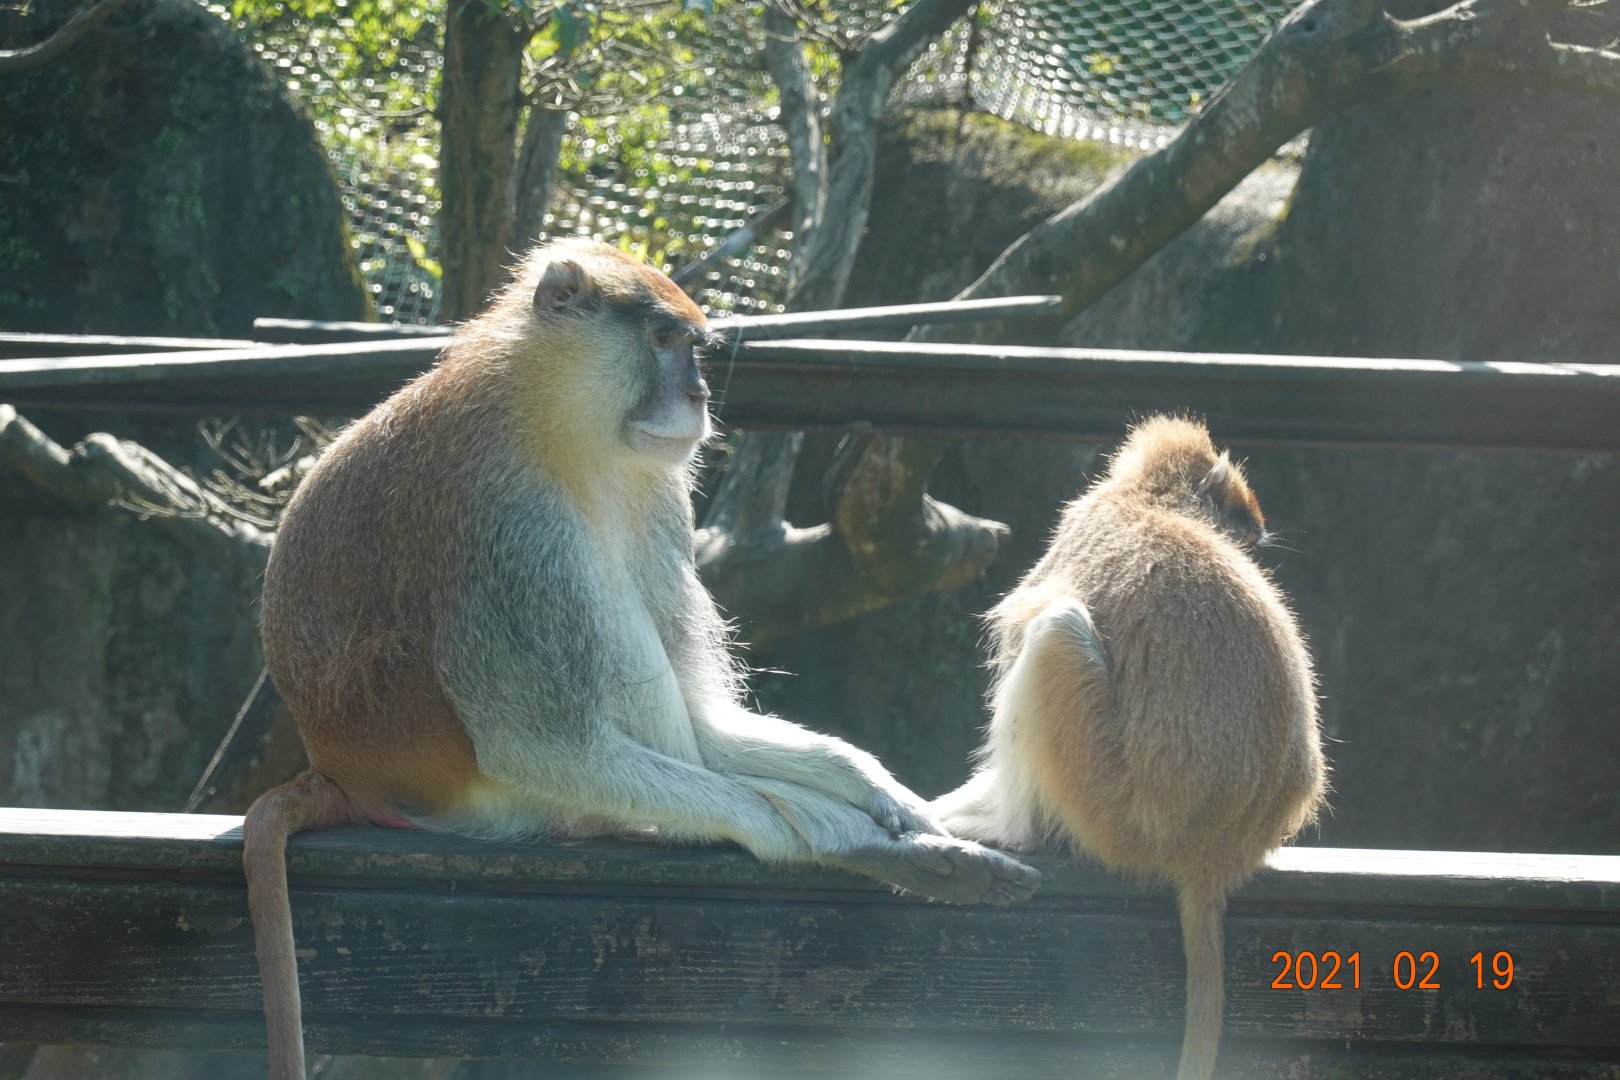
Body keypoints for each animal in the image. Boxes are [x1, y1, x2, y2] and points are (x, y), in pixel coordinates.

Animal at [242, 238, 1041, 1080]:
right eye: (662, 341)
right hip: (455, 770)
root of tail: (339, 767)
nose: (697, 397)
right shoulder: (512, 525)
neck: (545, 412)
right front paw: (835, 835)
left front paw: (878, 793)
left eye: (694, 349)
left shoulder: (654, 493)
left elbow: (703, 714)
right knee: (601, 620)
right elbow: (536, 743)